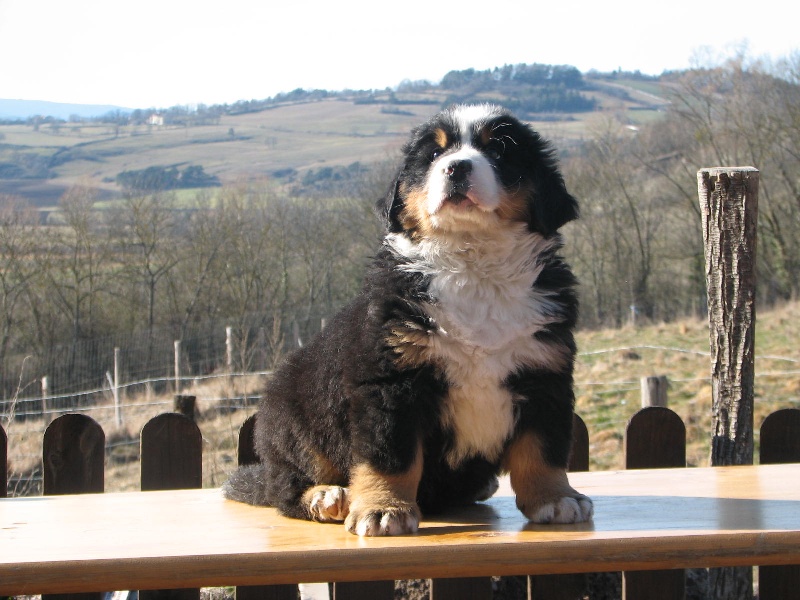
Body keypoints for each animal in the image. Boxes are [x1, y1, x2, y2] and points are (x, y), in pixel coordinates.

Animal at [223, 104, 593, 536]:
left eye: (499, 150)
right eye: (434, 155)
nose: (457, 167)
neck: (473, 266)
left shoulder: (544, 373)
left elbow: (543, 449)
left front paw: (557, 498)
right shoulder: (391, 380)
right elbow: (390, 455)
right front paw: (383, 509)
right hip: (295, 419)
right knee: (282, 487)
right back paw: (326, 496)